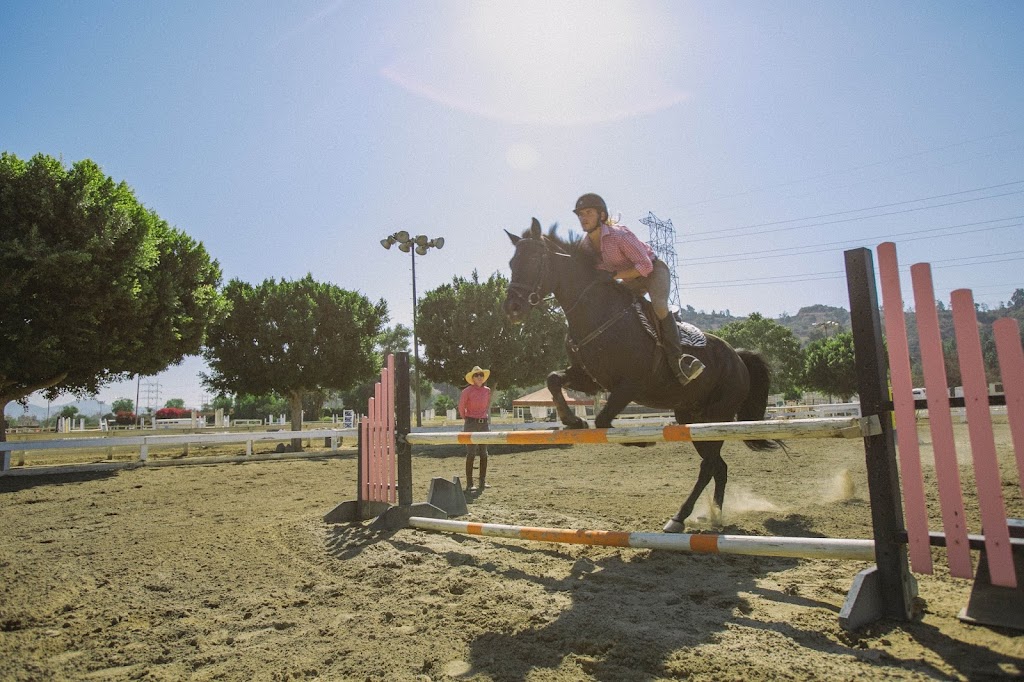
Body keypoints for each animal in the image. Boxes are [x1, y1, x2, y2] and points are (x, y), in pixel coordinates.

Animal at [499, 220, 778, 528]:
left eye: (534, 260)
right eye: (511, 262)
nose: (512, 308)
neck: (595, 311)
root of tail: (738, 357)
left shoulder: (629, 386)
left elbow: (603, 420)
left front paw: (640, 439)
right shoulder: (589, 379)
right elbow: (553, 380)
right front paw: (572, 421)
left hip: (717, 417)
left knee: (709, 466)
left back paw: (680, 517)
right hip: (691, 417)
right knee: (719, 466)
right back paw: (714, 515)